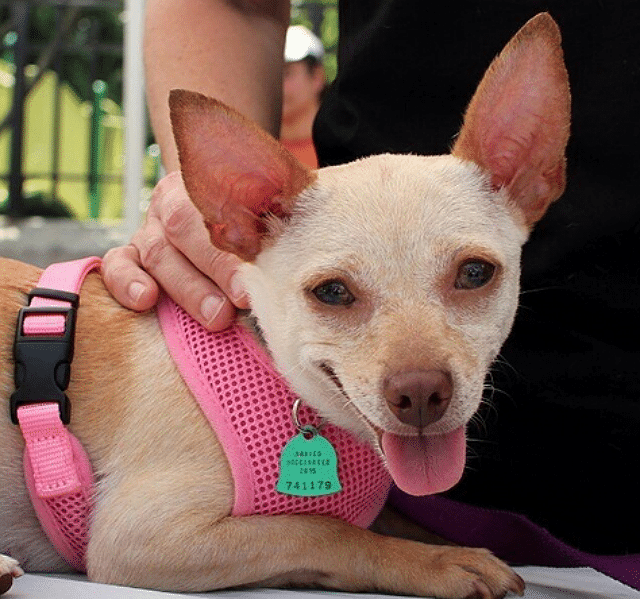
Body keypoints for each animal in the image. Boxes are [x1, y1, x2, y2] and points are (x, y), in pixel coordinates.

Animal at [0, 14, 568, 599]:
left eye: (475, 273)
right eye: (333, 292)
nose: (420, 395)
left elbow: (395, 520)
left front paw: (446, 543)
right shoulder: (140, 536)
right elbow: (324, 529)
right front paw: (437, 562)